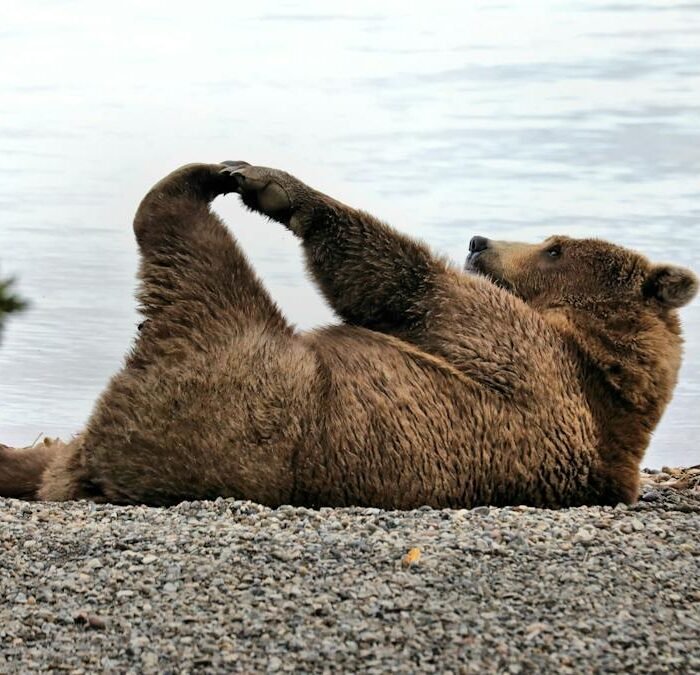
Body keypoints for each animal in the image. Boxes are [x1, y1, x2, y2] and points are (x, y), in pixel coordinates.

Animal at [0, 162, 697, 508]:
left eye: (554, 248)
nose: (478, 241)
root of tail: (93, 470)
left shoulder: (532, 363)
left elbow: (410, 289)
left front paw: (273, 186)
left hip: (236, 383)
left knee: (195, 261)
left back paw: (192, 183)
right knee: (50, 453)